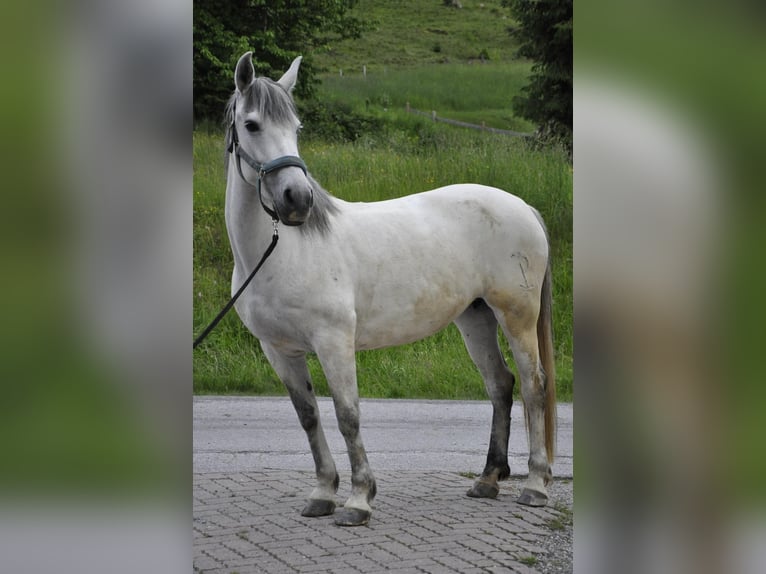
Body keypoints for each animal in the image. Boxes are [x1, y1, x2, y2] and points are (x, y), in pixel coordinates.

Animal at [223, 52, 556, 526]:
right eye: (251, 125)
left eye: (296, 127)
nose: (297, 200)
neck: (282, 252)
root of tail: (523, 206)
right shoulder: (280, 351)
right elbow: (309, 417)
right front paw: (323, 493)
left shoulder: (333, 342)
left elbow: (347, 415)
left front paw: (359, 500)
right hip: (475, 319)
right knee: (500, 385)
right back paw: (488, 480)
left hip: (517, 316)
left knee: (533, 384)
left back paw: (535, 485)